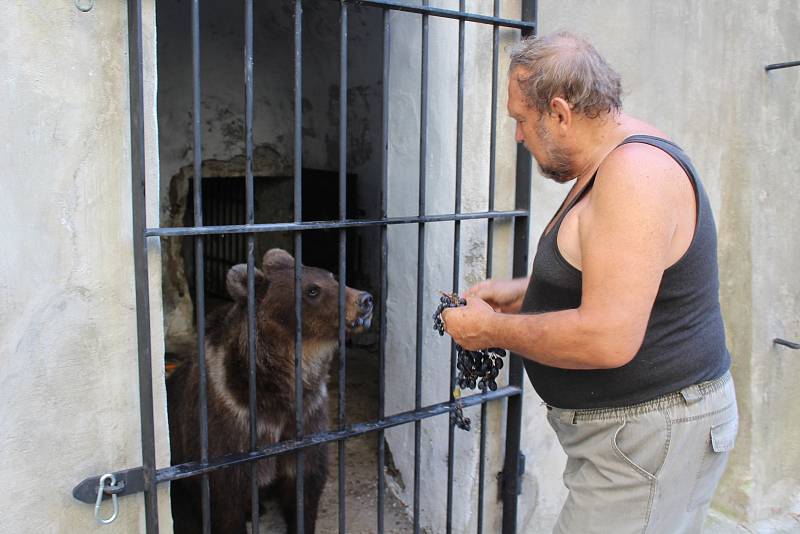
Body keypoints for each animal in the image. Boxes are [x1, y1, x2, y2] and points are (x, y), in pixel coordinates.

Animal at [167, 249, 374, 532]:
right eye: (312, 290)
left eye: (333, 276)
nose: (365, 300)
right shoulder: (230, 424)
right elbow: (225, 500)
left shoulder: (308, 416)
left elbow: (305, 486)